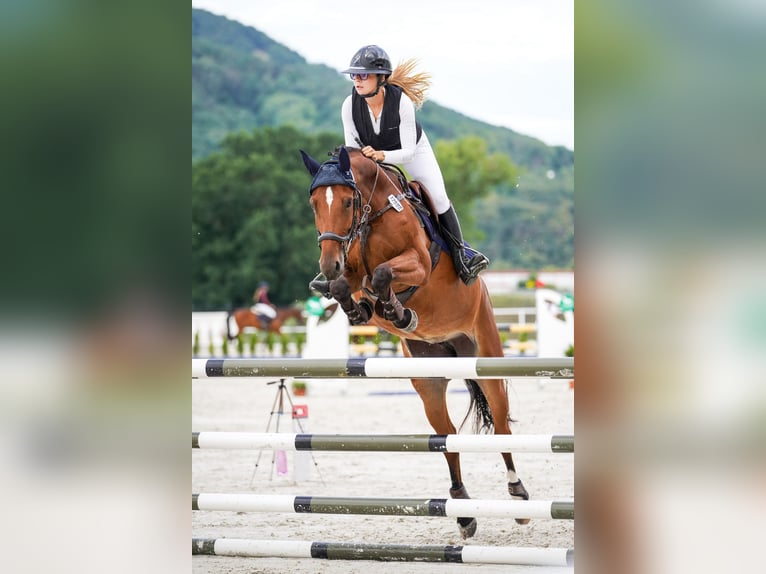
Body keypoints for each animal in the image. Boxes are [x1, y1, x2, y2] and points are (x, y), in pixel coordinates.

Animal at [300, 146, 529, 539]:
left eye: (347, 201)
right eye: (314, 202)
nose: (328, 263)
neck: (371, 219)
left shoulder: (418, 263)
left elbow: (382, 274)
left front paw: (397, 311)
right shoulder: (351, 273)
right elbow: (348, 286)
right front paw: (364, 309)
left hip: (485, 359)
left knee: (500, 426)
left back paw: (518, 495)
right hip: (429, 380)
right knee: (447, 438)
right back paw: (463, 512)